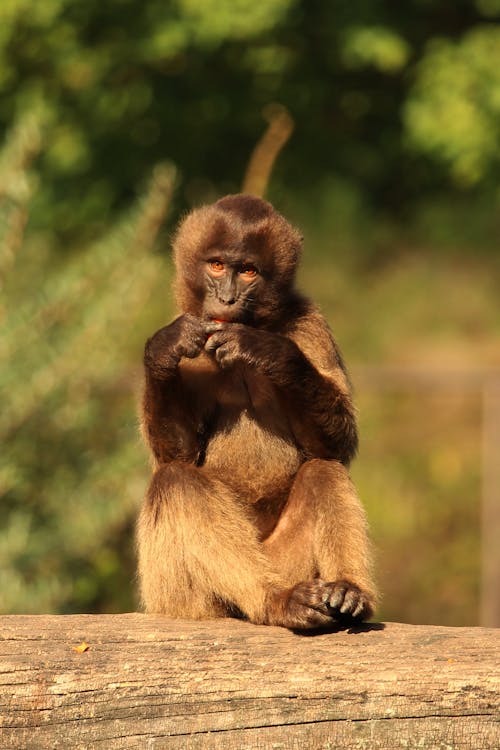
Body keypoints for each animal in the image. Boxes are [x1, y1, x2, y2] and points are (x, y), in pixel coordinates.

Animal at [137, 192, 376, 628]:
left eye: (248, 271)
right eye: (216, 265)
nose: (227, 299)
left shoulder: (309, 323)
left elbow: (332, 449)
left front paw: (271, 354)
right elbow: (177, 456)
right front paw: (162, 351)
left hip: (287, 561)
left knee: (322, 471)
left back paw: (347, 592)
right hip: (184, 602)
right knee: (174, 481)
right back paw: (276, 600)